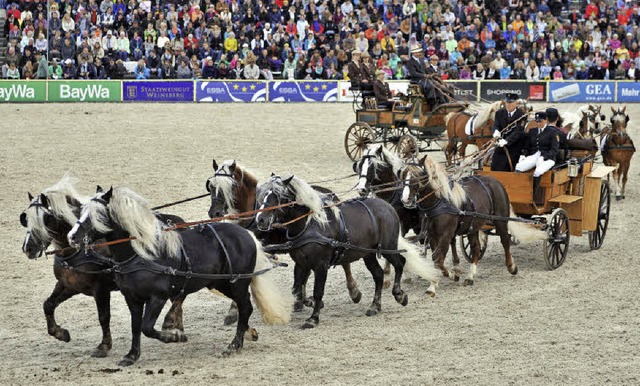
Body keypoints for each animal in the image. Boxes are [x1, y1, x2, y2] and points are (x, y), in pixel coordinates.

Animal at [20, 176, 190, 358]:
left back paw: (172, 325)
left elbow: (103, 316)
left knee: (180, 297)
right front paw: (60, 333)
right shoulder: (68, 285)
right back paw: (176, 328)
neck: (77, 251)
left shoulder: (100, 288)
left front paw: (103, 346)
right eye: (25, 219)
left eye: (45, 219)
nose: (28, 248)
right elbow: (48, 305)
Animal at [68, 185, 290, 366]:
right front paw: (132, 355)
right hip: (222, 283)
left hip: (238, 283)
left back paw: (234, 345)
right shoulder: (132, 299)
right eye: (82, 211)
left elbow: (147, 328)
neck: (143, 254)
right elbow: (135, 326)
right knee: (245, 308)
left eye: (97, 214)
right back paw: (246, 335)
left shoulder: (158, 297)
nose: (72, 236)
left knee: (245, 308)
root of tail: (246, 234)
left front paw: (174, 336)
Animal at [208, 158, 362, 318]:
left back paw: (353, 291)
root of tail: (327, 192)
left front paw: (233, 309)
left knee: (345, 262)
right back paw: (301, 301)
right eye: (211, 186)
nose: (214, 212)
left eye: (231, 186)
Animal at [254, 175, 440, 328]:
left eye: (277, 196)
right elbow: (297, 289)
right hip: (368, 253)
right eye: (262, 196)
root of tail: (387, 206)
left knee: (400, 263)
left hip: (388, 247)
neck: (310, 225)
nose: (260, 219)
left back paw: (399, 295)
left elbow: (317, 291)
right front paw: (304, 304)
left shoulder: (321, 266)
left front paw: (313, 318)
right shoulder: (301, 264)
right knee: (378, 275)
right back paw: (375, 306)